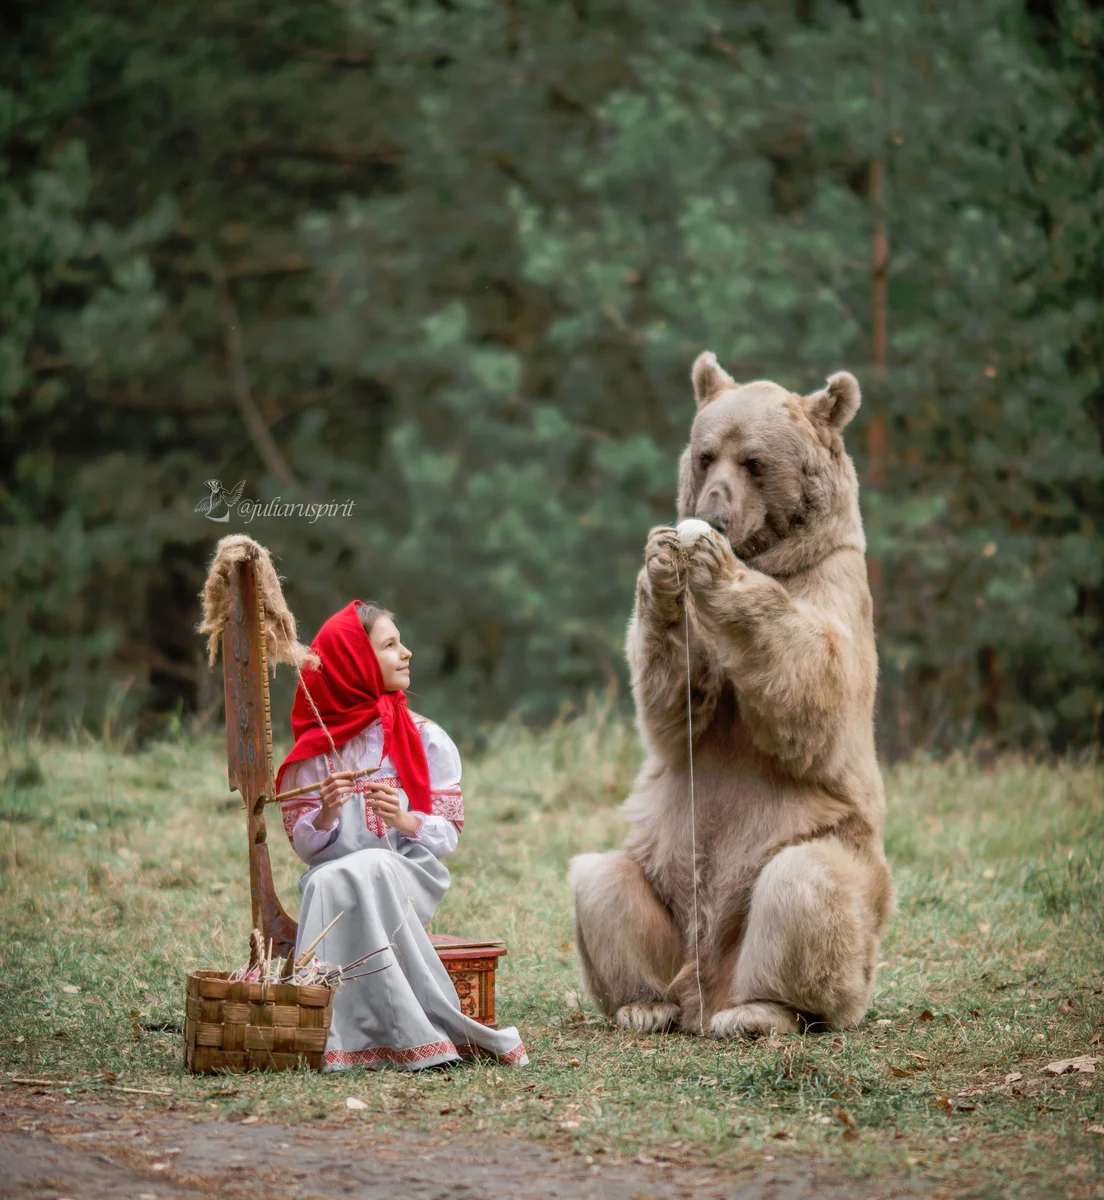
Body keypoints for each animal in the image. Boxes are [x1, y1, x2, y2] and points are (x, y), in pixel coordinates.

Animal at [573, 350, 892, 1036]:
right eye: (704, 455)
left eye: (754, 461)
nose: (714, 514)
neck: (768, 555)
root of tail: (707, 987)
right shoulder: (688, 664)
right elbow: (671, 705)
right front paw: (662, 567)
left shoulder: (835, 584)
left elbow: (818, 690)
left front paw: (714, 565)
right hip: (663, 887)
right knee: (600, 880)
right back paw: (644, 1005)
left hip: (834, 874)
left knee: (805, 888)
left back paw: (760, 1012)